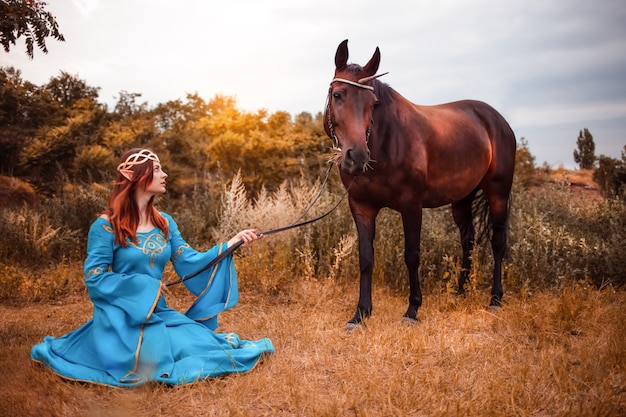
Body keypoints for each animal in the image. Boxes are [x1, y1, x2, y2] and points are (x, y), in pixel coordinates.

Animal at [324, 39, 516, 324]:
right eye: (337, 95)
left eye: (373, 103)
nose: (356, 157)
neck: (387, 142)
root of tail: (497, 120)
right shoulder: (361, 206)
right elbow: (366, 258)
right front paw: (361, 313)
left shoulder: (411, 206)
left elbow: (412, 255)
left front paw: (412, 310)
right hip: (462, 199)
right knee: (468, 241)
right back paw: (460, 293)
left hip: (498, 194)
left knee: (498, 242)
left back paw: (495, 299)